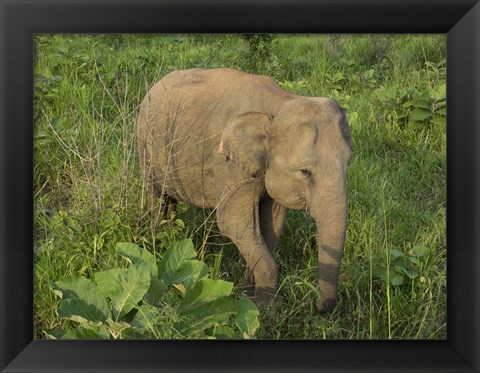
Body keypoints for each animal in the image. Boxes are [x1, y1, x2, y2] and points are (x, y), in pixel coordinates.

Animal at [136, 67, 352, 310]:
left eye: (348, 163)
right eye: (305, 171)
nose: (318, 308)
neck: (279, 102)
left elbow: (272, 222)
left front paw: (249, 294)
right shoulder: (229, 166)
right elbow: (233, 222)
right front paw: (268, 309)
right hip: (145, 143)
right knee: (157, 197)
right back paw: (156, 242)